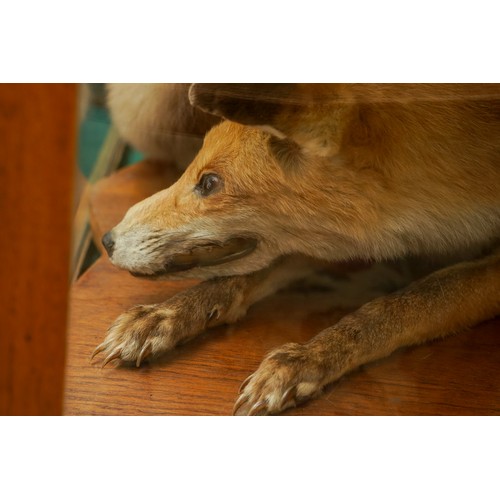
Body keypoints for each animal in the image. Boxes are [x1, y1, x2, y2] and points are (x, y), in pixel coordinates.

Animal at [94, 85, 500, 414]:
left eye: (209, 183)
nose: (107, 240)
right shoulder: (331, 240)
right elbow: (242, 278)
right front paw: (165, 315)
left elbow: (406, 304)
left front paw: (307, 359)